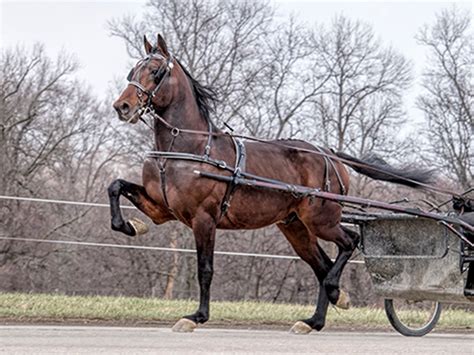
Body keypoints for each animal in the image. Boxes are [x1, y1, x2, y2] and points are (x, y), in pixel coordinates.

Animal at [109, 34, 432, 336]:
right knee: (323, 265)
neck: (189, 149)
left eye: (155, 71)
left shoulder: (204, 219)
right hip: (295, 226)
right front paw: (132, 225)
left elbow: (205, 269)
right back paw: (314, 320)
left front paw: (196, 317)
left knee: (349, 243)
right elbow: (116, 186)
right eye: (132, 71)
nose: (122, 106)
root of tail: (329, 154)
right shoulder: (162, 209)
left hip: (321, 219)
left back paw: (335, 294)